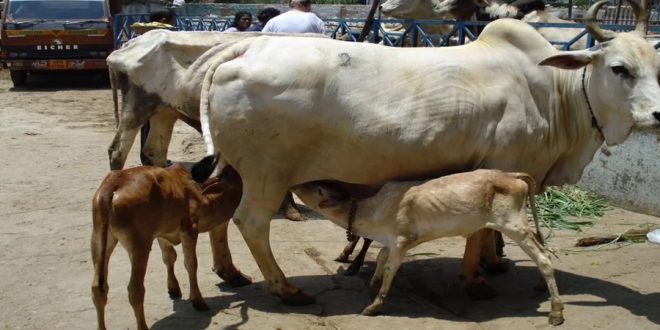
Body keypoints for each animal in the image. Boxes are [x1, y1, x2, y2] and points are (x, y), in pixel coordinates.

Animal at [90, 158, 245, 330]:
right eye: (235, 179)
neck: (201, 197)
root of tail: (113, 184)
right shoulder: (189, 229)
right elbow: (191, 264)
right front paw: (198, 301)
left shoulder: (162, 235)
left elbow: (169, 258)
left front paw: (173, 288)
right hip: (139, 245)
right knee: (135, 290)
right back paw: (143, 325)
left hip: (99, 240)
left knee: (98, 289)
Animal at [294, 170, 564, 324]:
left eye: (317, 188)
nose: (295, 183)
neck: (373, 210)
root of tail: (511, 176)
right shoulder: (391, 240)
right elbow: (380, 256)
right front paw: (372, 282)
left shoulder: (402, 241)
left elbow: (390, 270)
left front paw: (374, 305)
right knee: (544, 247)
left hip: (513, 226)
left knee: (544, 259)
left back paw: (556, 312)